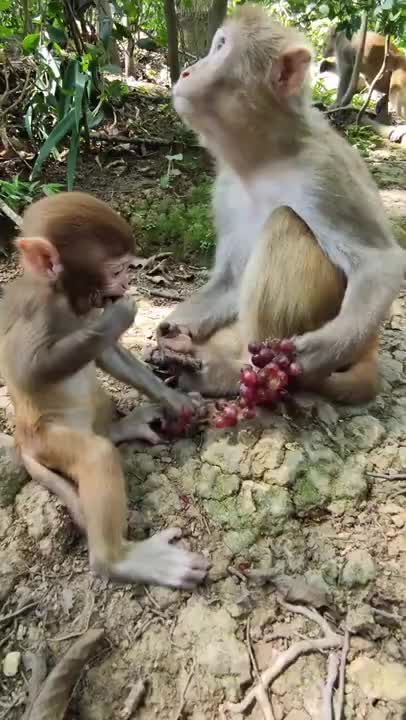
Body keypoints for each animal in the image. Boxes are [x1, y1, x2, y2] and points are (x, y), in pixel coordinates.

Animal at [0, 192, 209, 589]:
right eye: (116, 271)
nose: (126, 287)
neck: (63, 299)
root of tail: (23, 441)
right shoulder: (35, 311)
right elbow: (28, 373)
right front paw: (119, 316)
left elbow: (107, 354)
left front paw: (175, 400)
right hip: (50, 439)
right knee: (95, 454)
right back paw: (122, 560)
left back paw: (122, 427)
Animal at [144, 4, 406, 406]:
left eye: (220, 47)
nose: (187, 71)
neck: (263, 159)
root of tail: (370, 345)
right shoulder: (225, 188)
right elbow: (231, 279)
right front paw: (170, 332)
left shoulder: (323, 174)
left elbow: (380, 263)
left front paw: (311, 356)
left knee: (284, 221)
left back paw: (231, 372)